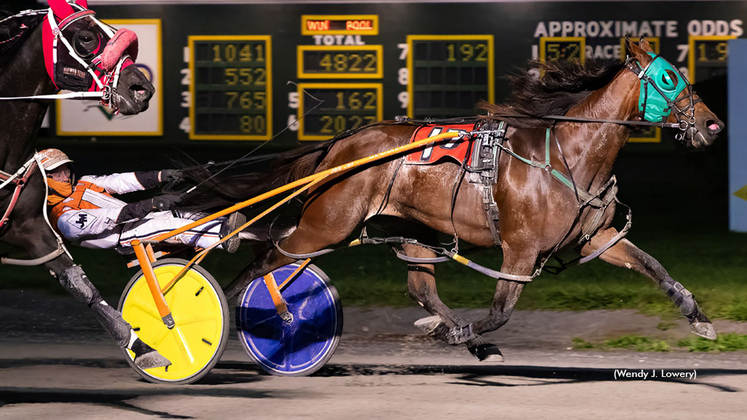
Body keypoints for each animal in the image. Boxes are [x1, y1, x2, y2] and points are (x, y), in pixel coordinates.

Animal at [191, 38, 724, 360]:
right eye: (670, 78)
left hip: (413, 228)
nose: (713, 124)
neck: (569, 154)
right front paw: (467, 334)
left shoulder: (598, 237)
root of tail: (341, 145)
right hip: (327, 225)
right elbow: (501, 311)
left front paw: (698, 317)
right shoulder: (520, 249)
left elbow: (653, 265)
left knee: (420, 286)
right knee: (267, 257)